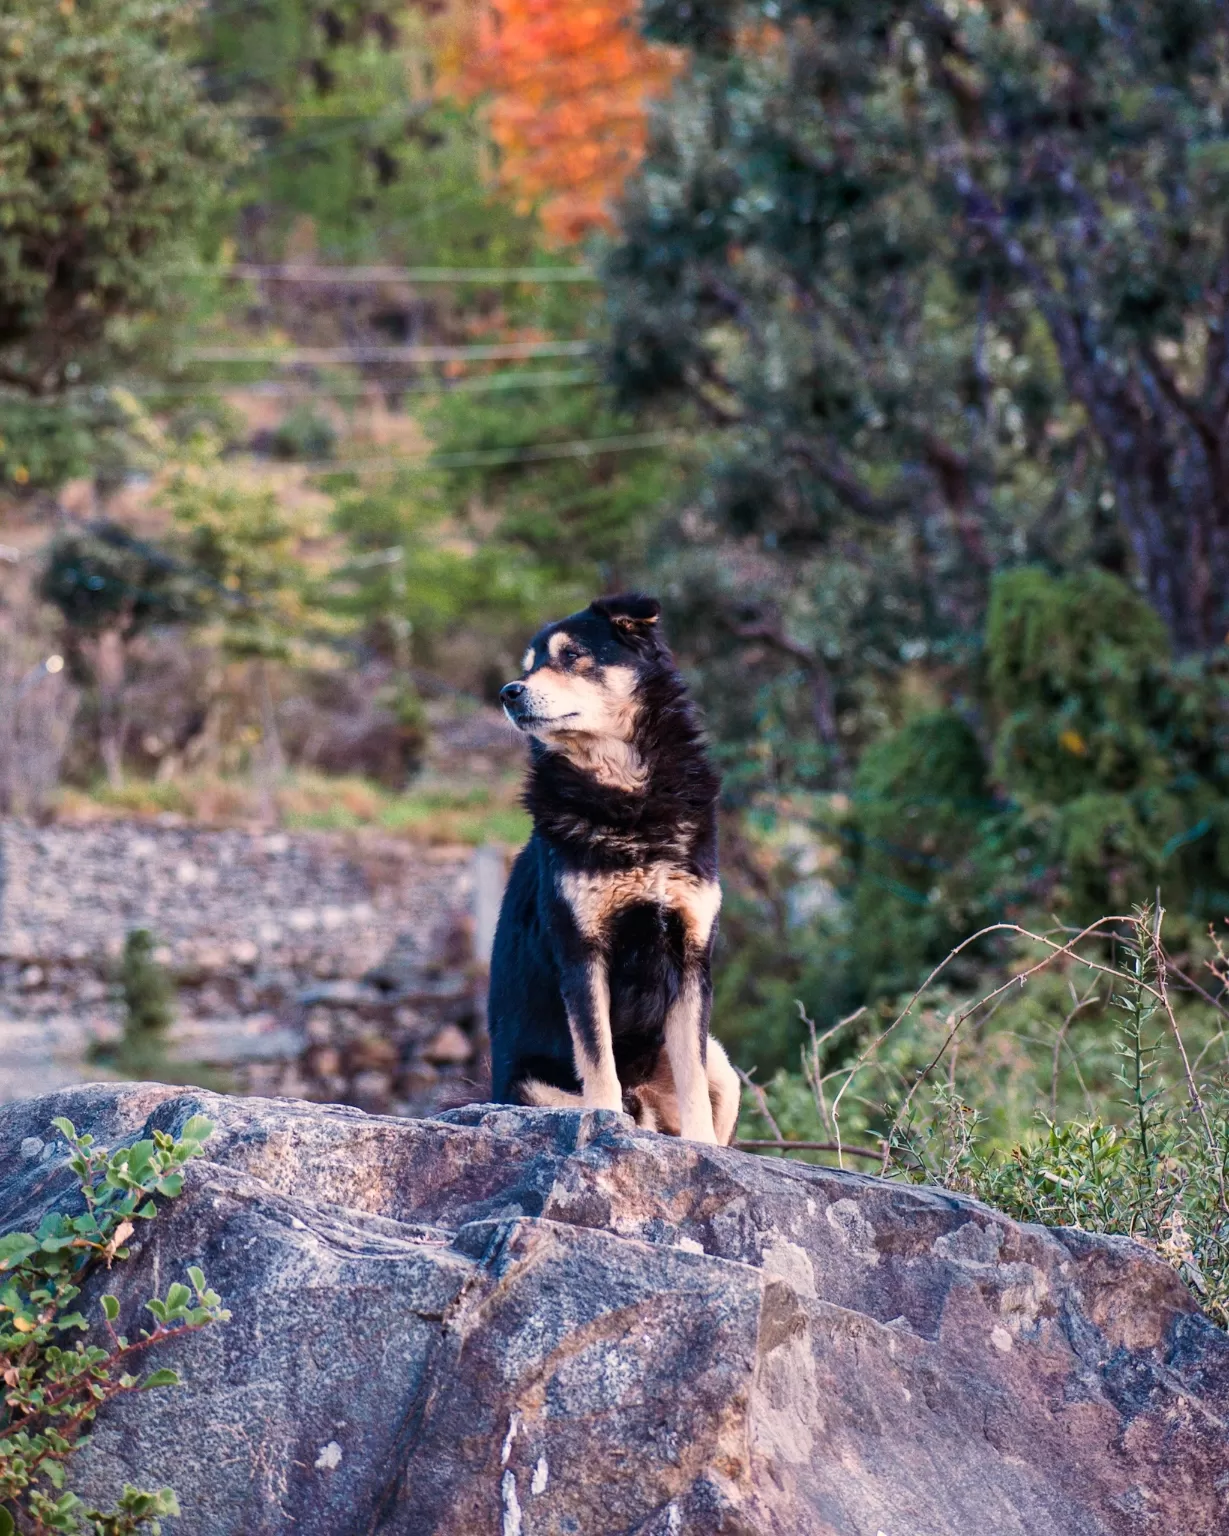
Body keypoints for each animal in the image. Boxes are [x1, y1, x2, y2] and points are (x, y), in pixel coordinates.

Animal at [488, 592, 740, 1148]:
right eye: (529, 666)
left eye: (572, 655)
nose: (509, 693)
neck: (628, 798)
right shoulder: (582, 951)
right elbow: (597, 1057)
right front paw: (605, 1122)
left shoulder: (691, 955)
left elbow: (691, 1075)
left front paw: (700, 1144)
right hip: (527, 1084)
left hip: (725, 1067)